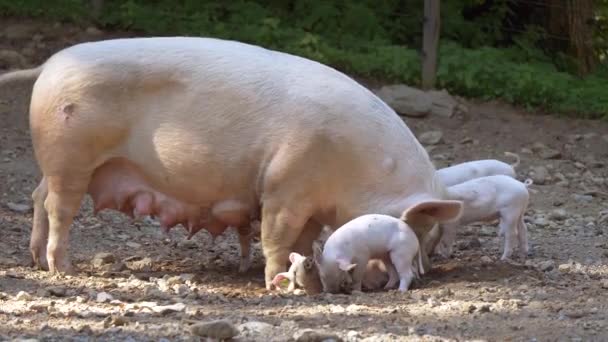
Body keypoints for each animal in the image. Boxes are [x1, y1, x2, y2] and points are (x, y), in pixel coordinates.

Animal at [0, 36, 464, 288]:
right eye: (416, 232)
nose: (409, 278)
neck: (359, 169)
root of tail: (51, 64)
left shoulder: (310, 204)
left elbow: (302, 241)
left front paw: (303, 273)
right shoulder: (283, 185)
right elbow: (276, 237)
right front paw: (274, 282)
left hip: (60, 163)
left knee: (38, 197)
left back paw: (35, 260)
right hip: (71, 155)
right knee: (59, 208)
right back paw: (61, 266)